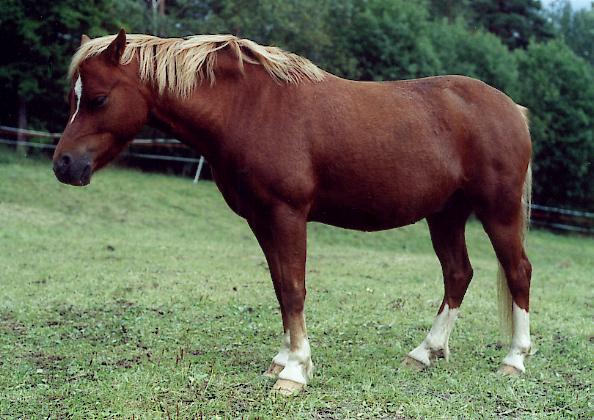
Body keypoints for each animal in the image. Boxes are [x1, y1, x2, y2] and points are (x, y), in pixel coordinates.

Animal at [53, 29, 533, 395]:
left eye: (97, 99)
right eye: (71, 99)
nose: (64, 165)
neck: (251, 108)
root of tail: (512, 108)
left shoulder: (287, 215)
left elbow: (294, 288)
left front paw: (296, 371)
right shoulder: (261, 219)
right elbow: (280, 286)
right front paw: (282, 359)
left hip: (498, 211)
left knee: (518, 272)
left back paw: (514, 360)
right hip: (446, 215)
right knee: (458, 274)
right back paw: (423, 353)